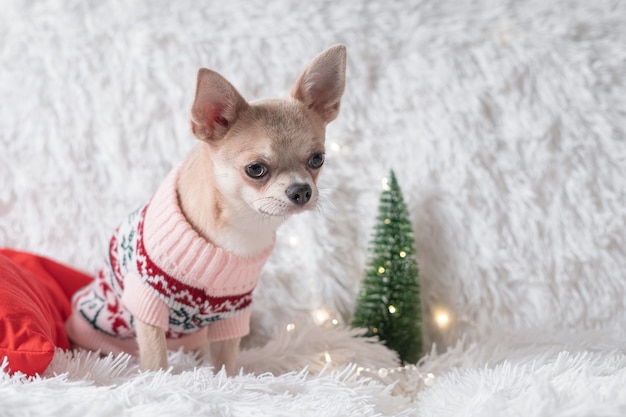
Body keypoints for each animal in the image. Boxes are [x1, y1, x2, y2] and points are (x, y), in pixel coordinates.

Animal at [66, 44, 348, 374]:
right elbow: (155, 357)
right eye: (255, 169)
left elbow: (226, 360)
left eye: (318, 159)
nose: (302, 190)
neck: (238, 229)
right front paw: (156, 380)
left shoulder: (233, 313)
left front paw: (223, 380)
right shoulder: (148, 301)